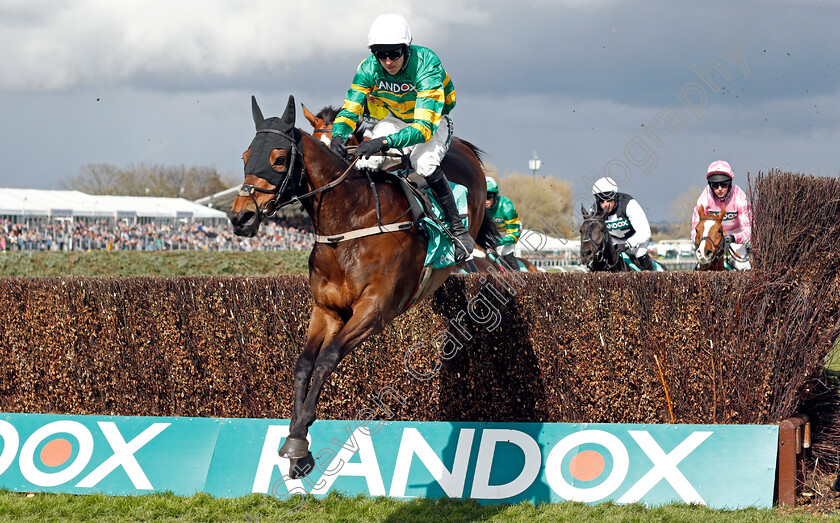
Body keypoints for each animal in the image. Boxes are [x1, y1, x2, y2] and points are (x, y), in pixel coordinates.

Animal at [226, 96, 496, 482]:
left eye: (278, 158)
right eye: (246, 156)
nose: (241, 217)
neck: (350, 224)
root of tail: (464, 147)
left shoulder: (374, 310)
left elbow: (327, 358)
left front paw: (299, 439)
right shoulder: (326, 309)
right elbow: (303, 363)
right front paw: (297, 442)